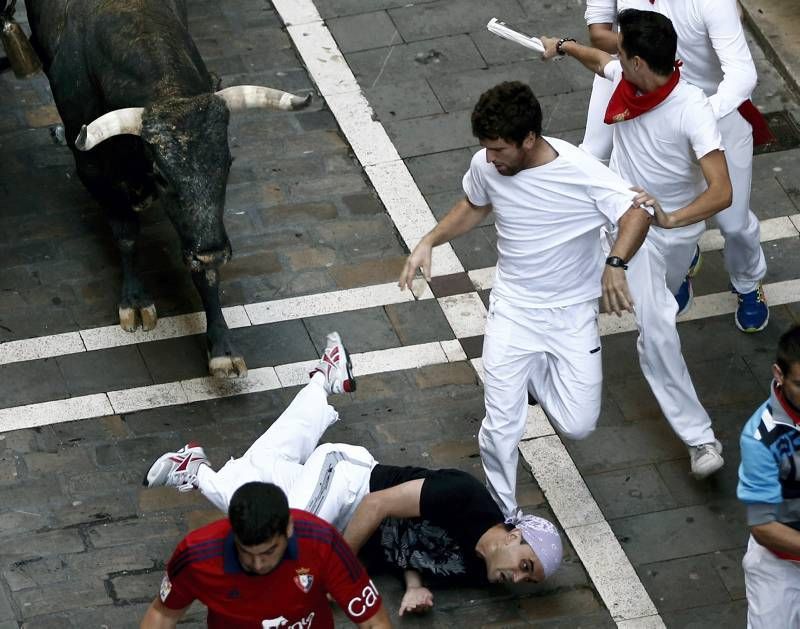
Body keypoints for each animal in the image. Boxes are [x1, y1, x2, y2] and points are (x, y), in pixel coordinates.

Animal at [23, 0, 310, 376]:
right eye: (161, 175)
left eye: (228, 163)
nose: (212, 251)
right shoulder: (91, 169)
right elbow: (126, 233)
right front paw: (135, 300)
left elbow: (202, 270)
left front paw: (222, 347)